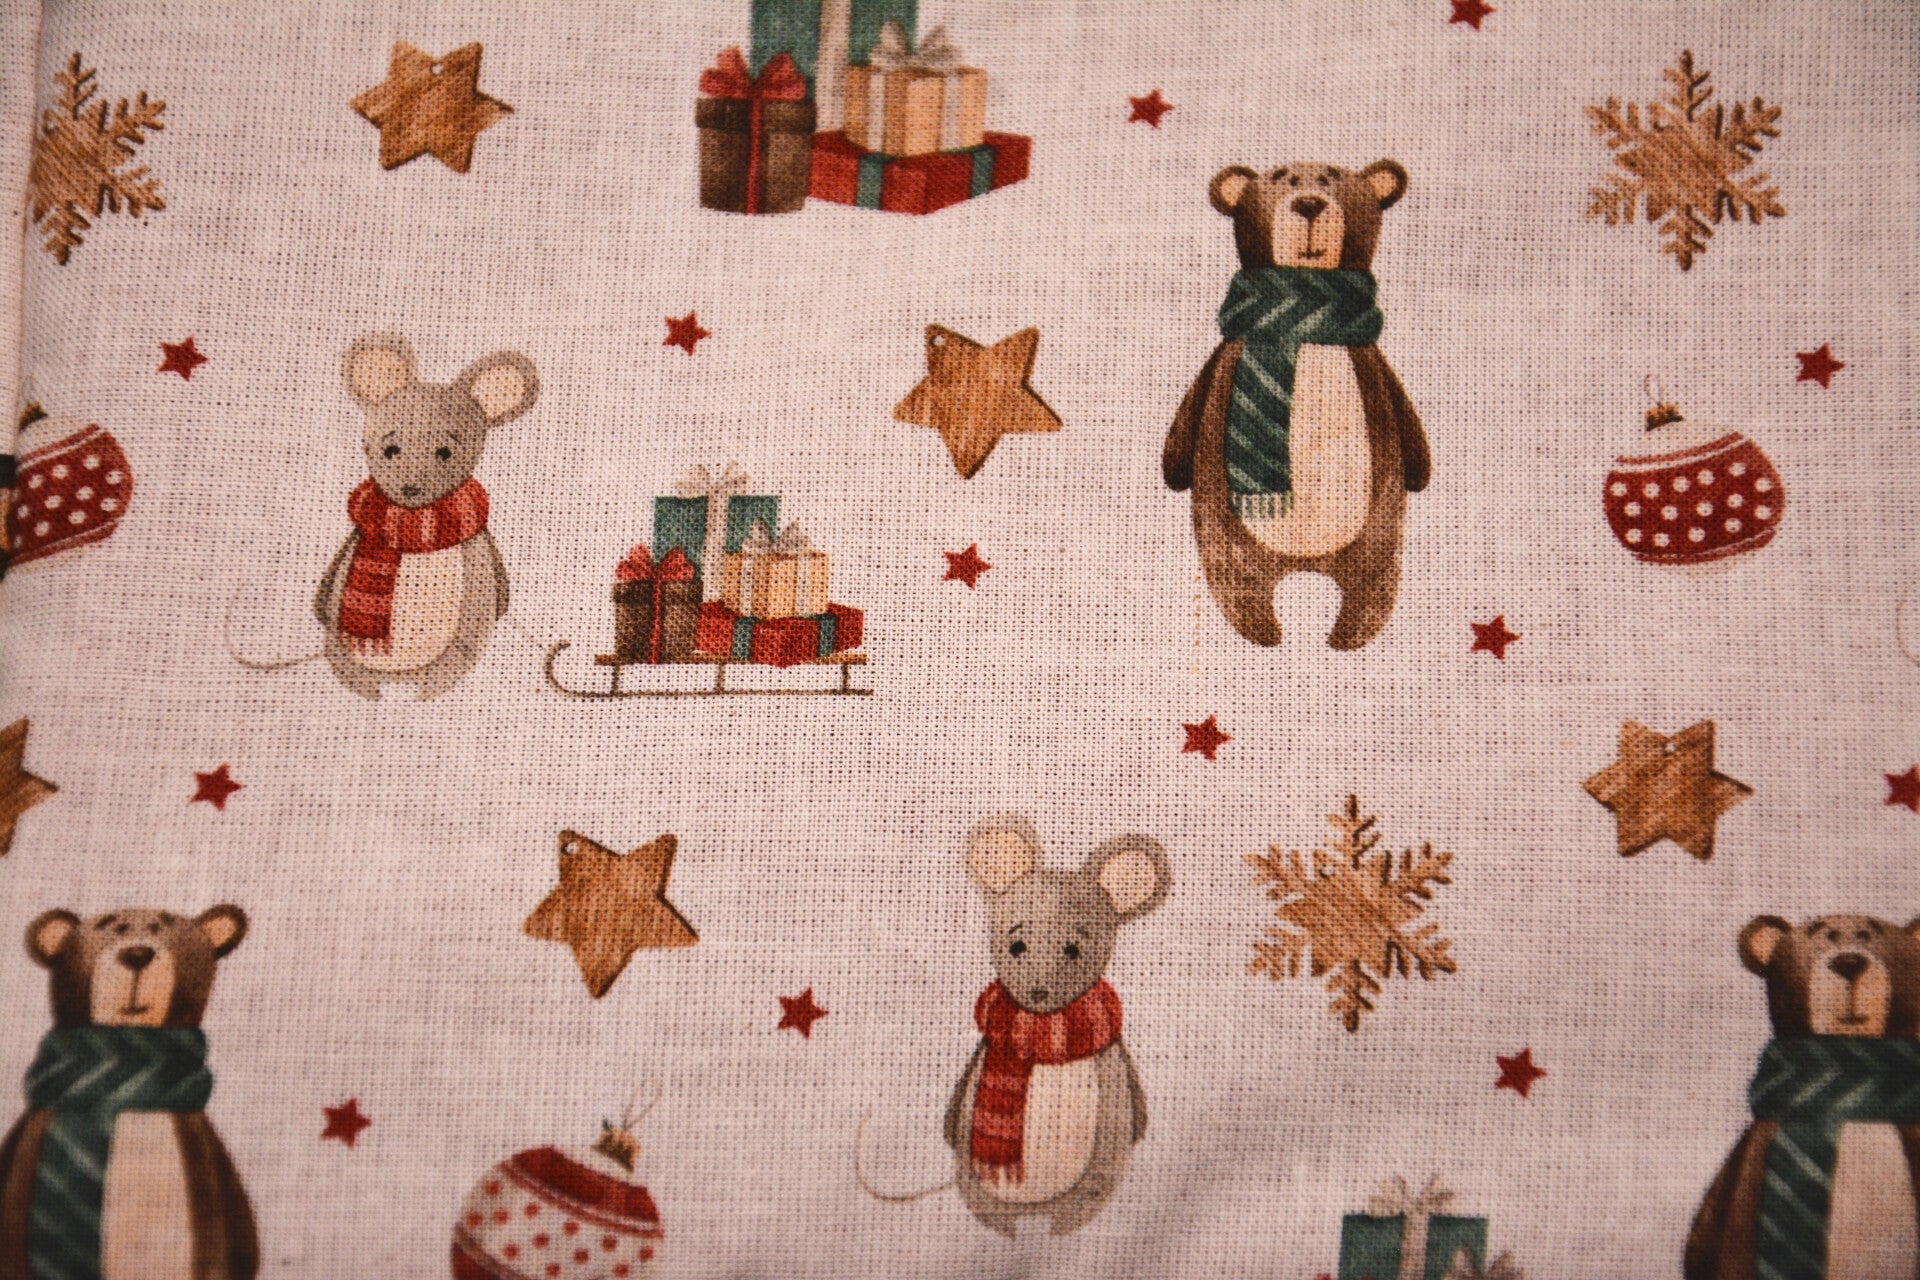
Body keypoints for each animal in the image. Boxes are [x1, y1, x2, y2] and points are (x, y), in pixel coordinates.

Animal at [1164, 160, 1429, 650]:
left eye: (1332, 180)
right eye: (1280, 180)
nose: (1308, 204)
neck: (1303, 322)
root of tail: (1305, 563)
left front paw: (1421, 474)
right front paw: (1173, 472)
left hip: (1375, 535)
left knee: (1368, 584)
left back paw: (1344, 637)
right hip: (1231, 536)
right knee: (1242, 584)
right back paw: (1268, 632)